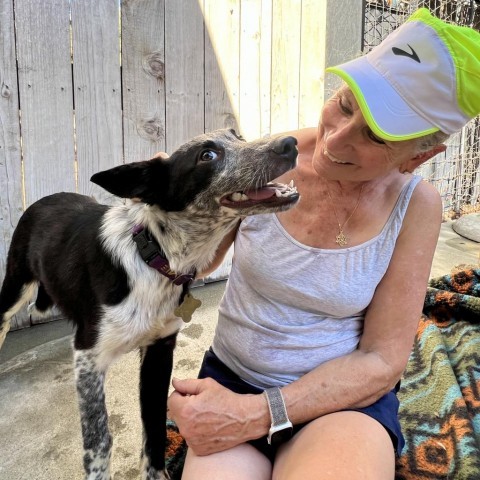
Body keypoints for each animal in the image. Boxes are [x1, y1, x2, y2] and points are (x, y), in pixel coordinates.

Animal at [0, 128, 298, 480]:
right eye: (207, 156)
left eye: (237, 136)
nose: (290, 144)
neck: (155, 254)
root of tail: (46, 198)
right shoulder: (88, 356)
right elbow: (99, 440)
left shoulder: (159, 348)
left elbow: (154, 423)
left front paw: (155, 471)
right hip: (15, 286)